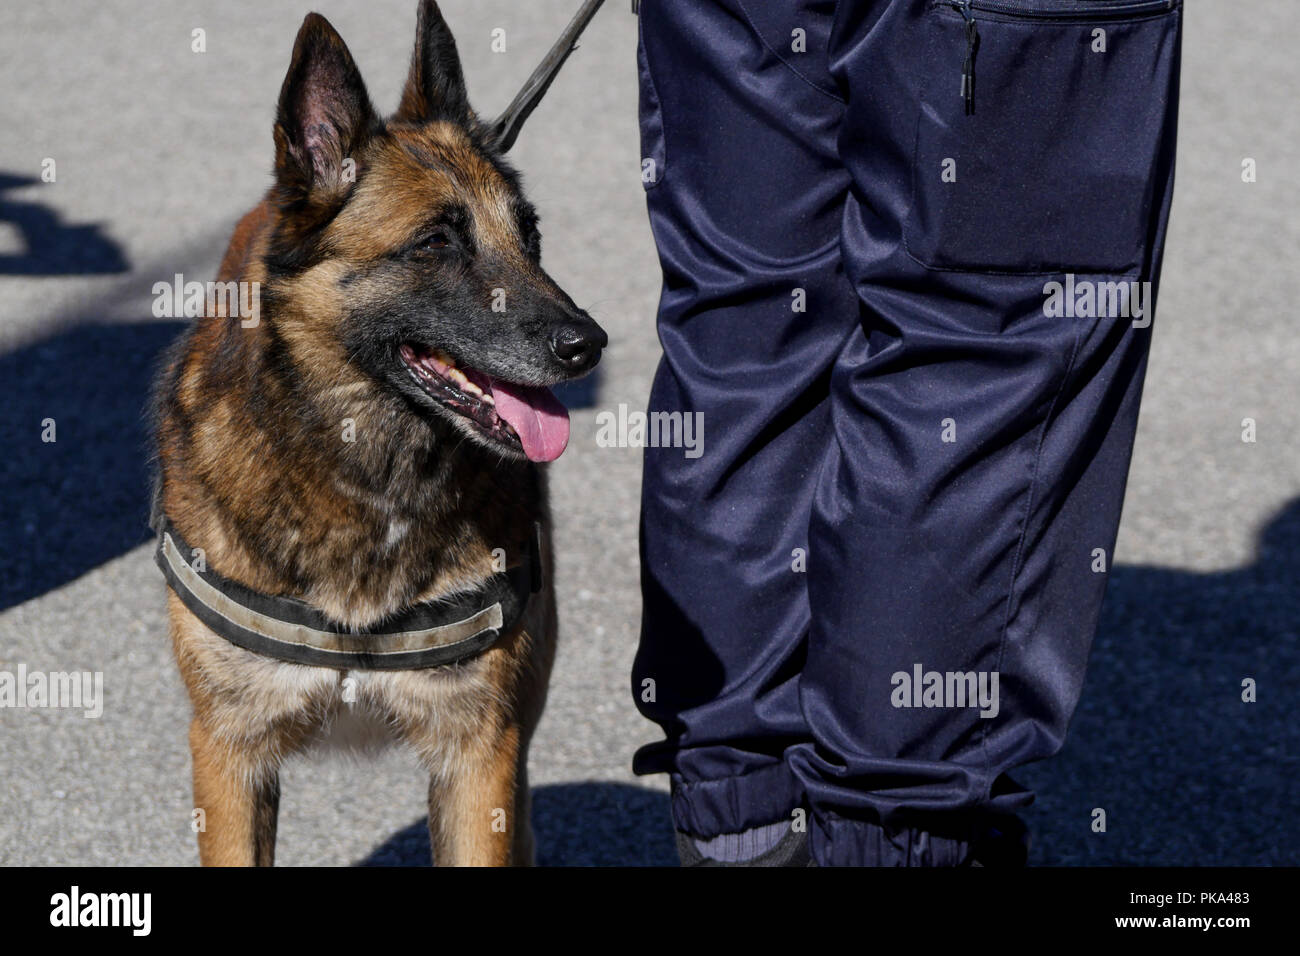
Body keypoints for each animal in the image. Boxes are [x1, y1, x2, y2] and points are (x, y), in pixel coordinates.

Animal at [150, 1, 603, 868]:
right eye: (437, 243)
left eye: (529, 235)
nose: (588, 345)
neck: (369, 471)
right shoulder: (230, 754)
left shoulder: (480, 756)